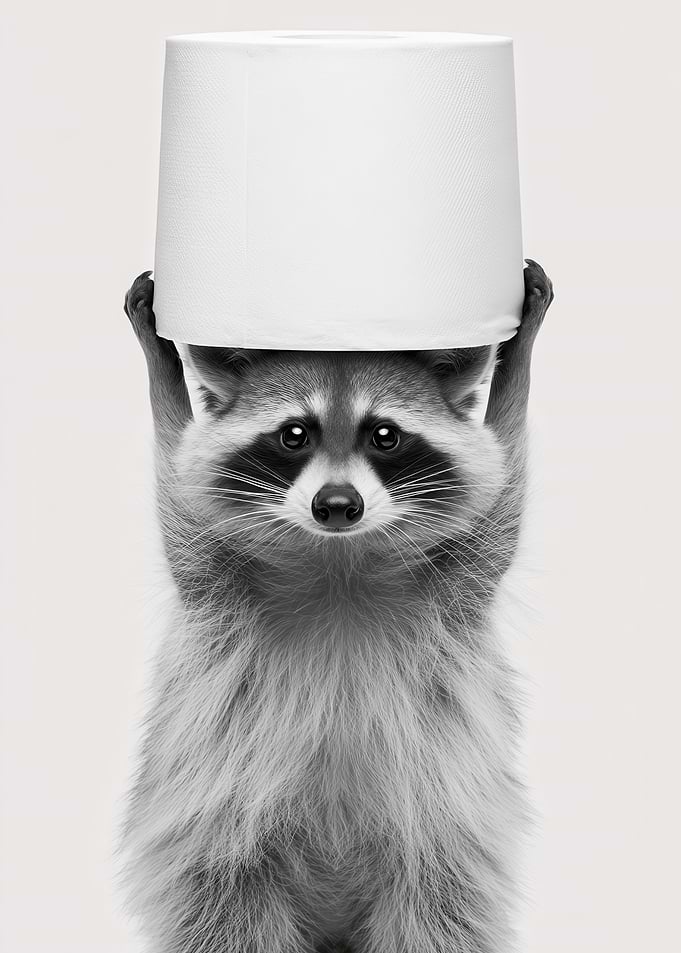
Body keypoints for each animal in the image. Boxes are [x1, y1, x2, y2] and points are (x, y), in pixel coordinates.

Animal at [120, 261, 553, 953]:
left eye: (385, 436)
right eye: (294, 435)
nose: (338, 504)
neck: (338, 563)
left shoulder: (459, 587)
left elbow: (503, 496)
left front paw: (518, 361)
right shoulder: (212, 585)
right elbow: (176, 491)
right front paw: (162, 366)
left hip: (435, 873)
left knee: (437, 925)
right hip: (222, 869)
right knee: (226, 924)